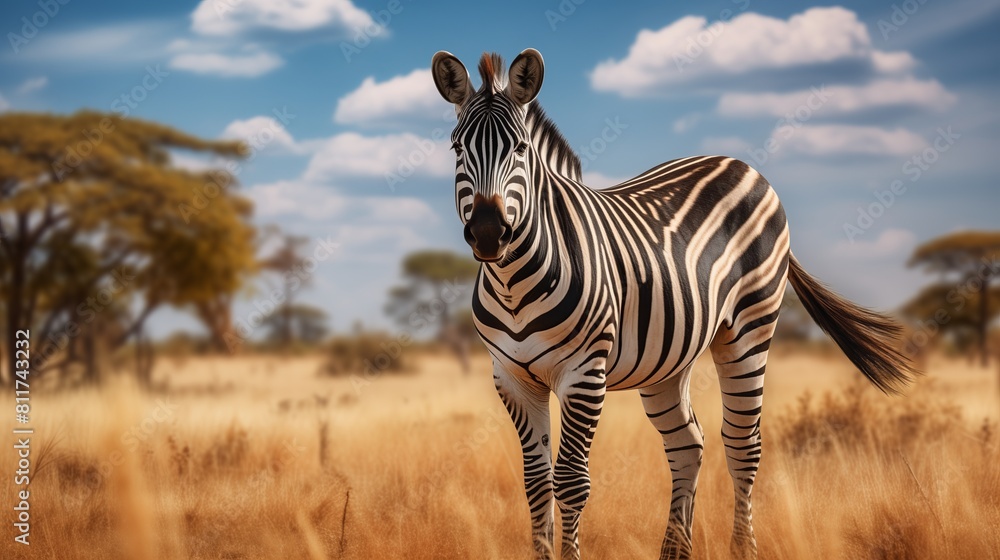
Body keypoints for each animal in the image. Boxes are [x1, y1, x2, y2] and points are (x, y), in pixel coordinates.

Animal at [430, 49, 914, 560]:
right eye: (457, 150)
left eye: (520, 149)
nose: (488, 233)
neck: (513, 284)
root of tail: (742, 165)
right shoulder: (512, 378)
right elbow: (536, 482)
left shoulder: (585, 373)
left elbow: (571, 481)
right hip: (668, 361)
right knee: (688, 445)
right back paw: (675, 550)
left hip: (749, 330)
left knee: (743, 445)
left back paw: (742, 548)